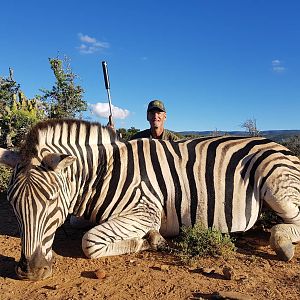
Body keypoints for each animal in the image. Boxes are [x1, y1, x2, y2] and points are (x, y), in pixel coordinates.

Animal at [0, 118, 298, 282]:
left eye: (51, 201)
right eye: (12, 203)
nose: (30, 271)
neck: (104, 173)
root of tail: (283, 148)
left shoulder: (146, 211)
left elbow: (90, 242)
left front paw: (151, 240)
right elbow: (77, 224)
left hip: (277, 185)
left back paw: (282, 243)